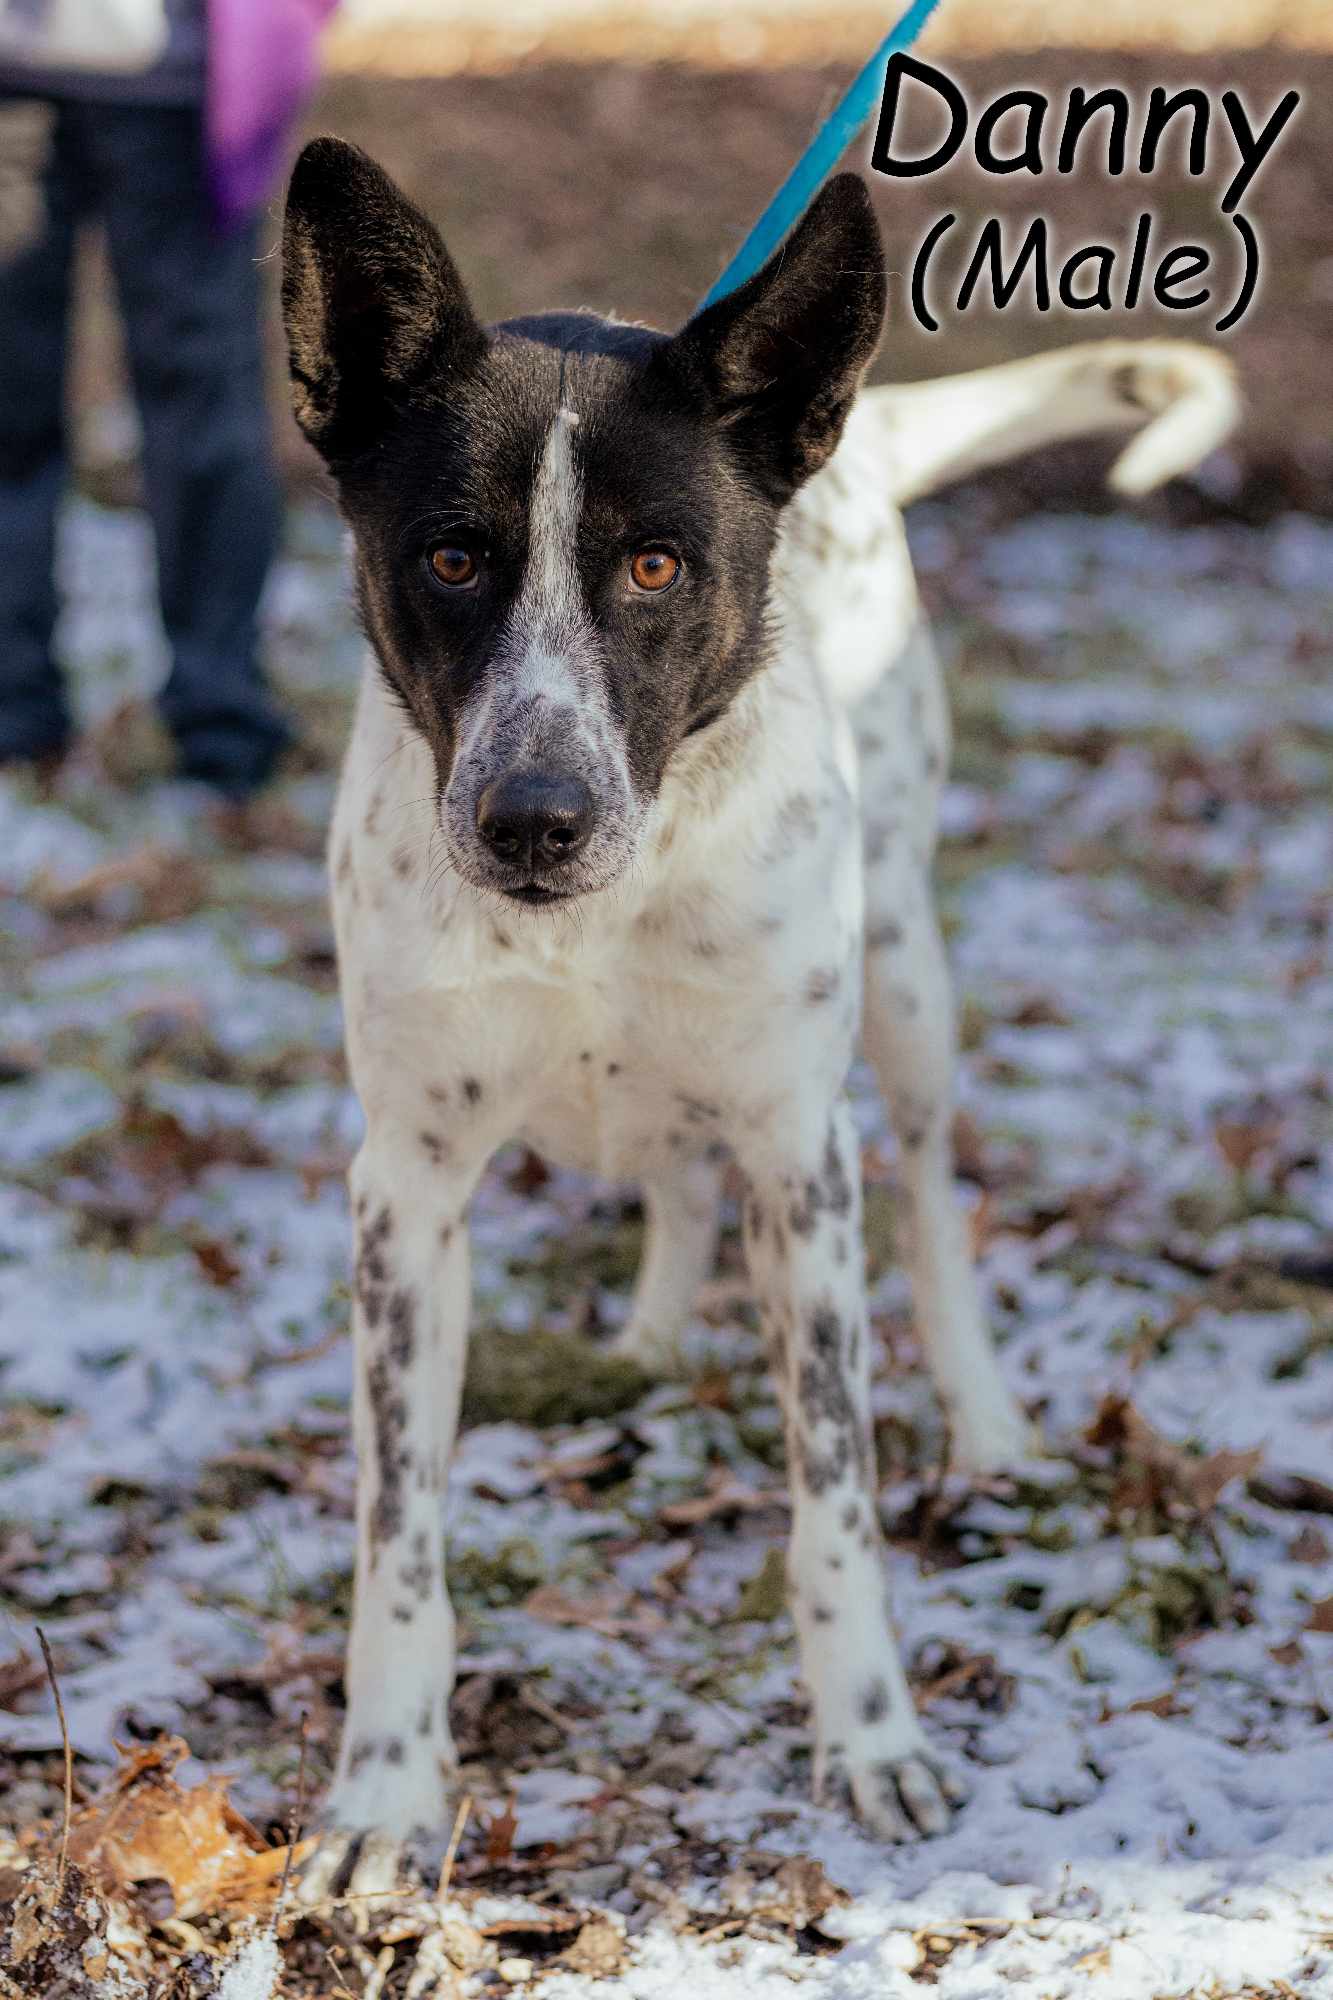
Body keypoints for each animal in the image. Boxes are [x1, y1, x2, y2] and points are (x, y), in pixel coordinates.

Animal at [282, 141, 1232, 1888]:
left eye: (657, 565)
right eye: (451, 556)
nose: (533, 821)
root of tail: (846, 448)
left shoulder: (802, 1156)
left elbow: (834, 1504)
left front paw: (872, 1743)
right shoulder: (406, 1194)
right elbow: (399, 1539)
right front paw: (382, 1794)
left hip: (908, 986)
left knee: (928, 1186)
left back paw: (987, 1422)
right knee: (665, 1169)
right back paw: (652, 1339)